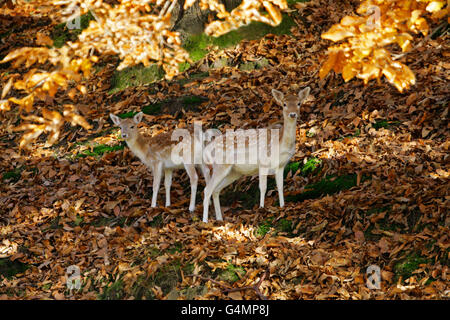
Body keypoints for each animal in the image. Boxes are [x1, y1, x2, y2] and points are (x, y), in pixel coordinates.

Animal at [202, 86, 312, 224]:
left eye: (299, 103)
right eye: (284, 104)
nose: (293, 114)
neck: (280, 143)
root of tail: (207, 148)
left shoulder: (281, 165)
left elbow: (280, 186)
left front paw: (282, 206)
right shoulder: (263, 162)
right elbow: (263, 187)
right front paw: (261, 208)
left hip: (234, 172)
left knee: (216, 190)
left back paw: (219, 218)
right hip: (220, 165)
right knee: (207, 189)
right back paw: (205, 221)